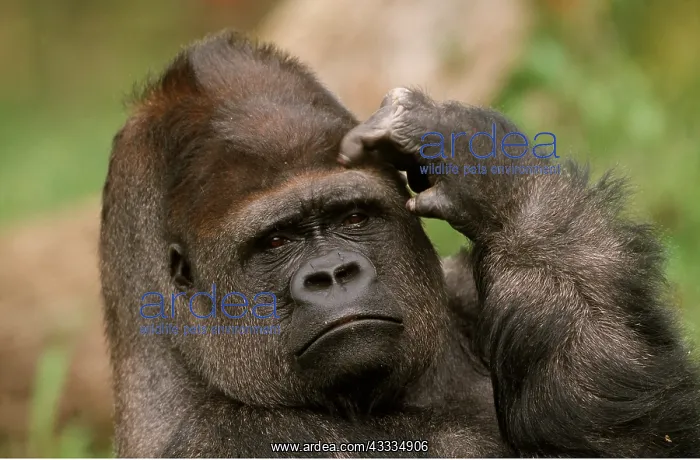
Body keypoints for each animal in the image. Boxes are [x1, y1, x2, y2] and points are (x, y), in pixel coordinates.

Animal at [99, 30, 700, 457]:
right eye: (275, 240)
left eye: (353, 216)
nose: (333, 274)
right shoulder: (228, 441)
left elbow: (648, 438)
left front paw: (499, 179)